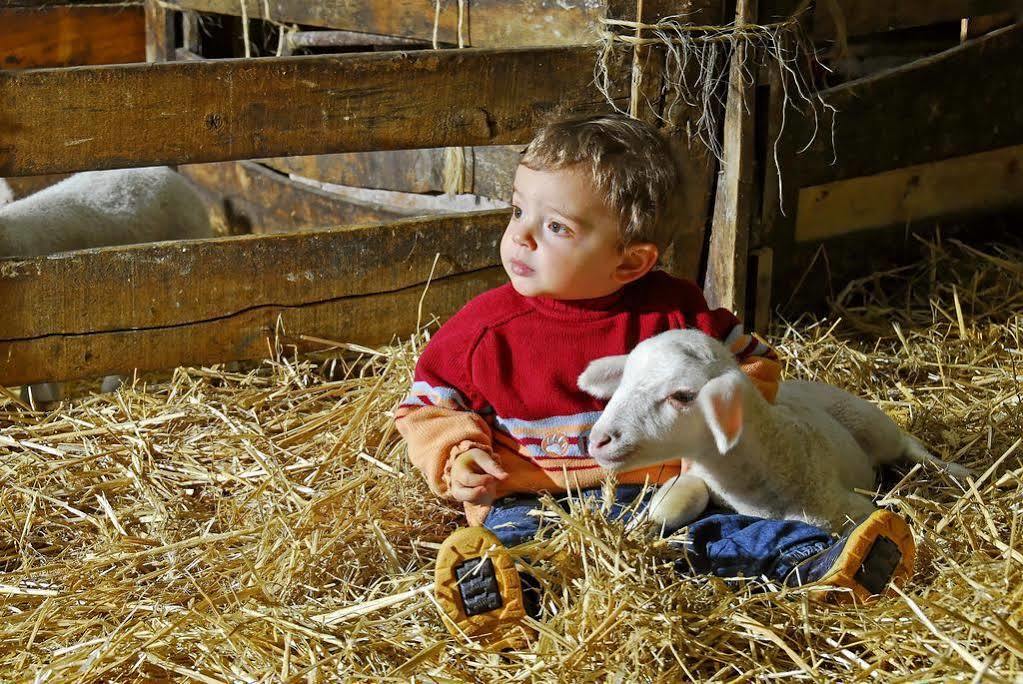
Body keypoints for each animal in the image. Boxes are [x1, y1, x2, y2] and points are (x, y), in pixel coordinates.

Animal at [581, 327, 969, 531]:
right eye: (624, 381)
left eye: (682, 396)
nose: (598, 441)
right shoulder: (699, 477)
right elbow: (670, 506)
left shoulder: (848, 509)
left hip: (869, 422)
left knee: (907, 444)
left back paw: (954, 470)